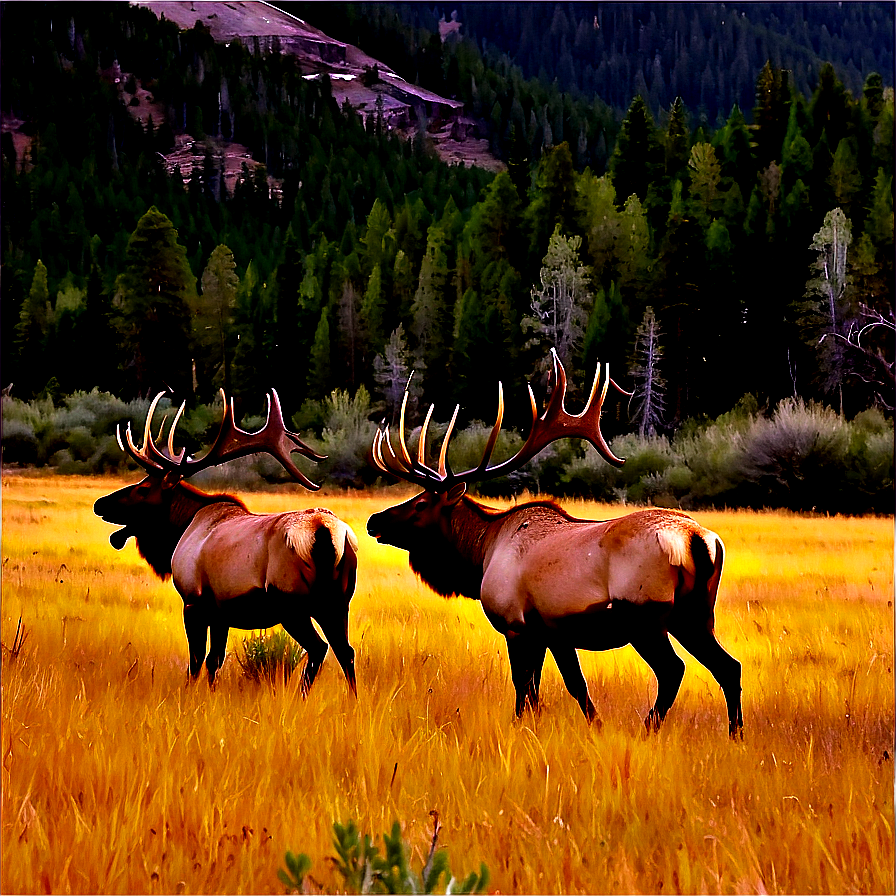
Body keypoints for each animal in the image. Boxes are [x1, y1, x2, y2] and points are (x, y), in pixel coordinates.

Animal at [91, 392, 356, 692]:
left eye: (144, 488)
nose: (100, 503)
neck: (182, 528)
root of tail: (324, 530)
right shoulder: (221, 611)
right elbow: (214, 660)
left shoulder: (193, 600)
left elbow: (196, 661)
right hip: (338, 601)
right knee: (345, 651)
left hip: (290, 601)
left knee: (319, 647)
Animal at [364, 354, 744, 740]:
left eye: (421, 503)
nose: (374, 520)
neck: (482, 552)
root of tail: (699, 541)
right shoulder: (549, 632)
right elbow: (559, 689)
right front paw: (590, 727)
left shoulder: (518, 625)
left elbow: (529, 689)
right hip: (695, 614)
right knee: (729, 666)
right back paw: (735, 734)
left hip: (643, 614)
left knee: (673, 670)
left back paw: (648, 728)